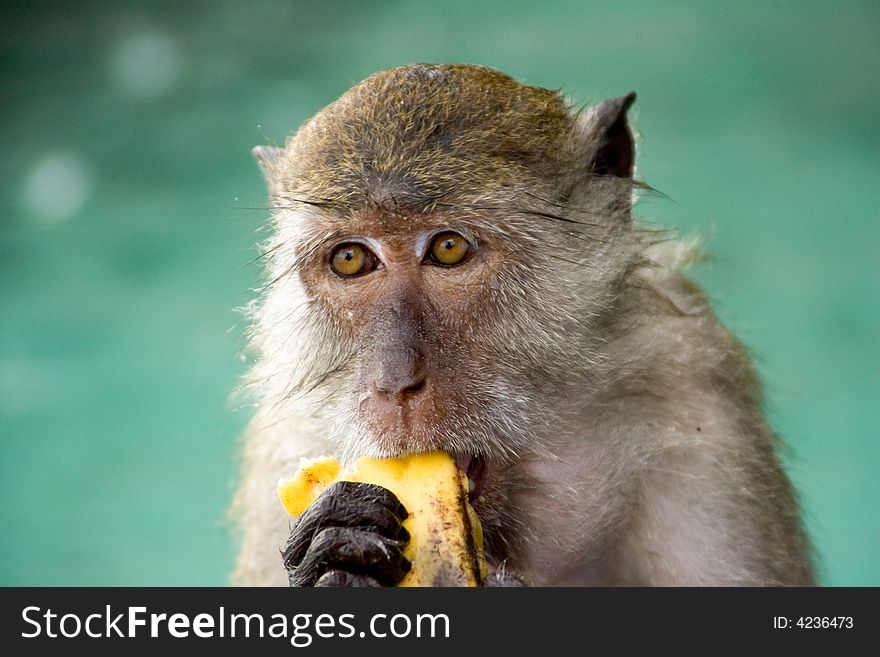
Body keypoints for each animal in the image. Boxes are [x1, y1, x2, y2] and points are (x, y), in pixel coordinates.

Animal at [230, 61, 816, 584]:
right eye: (351, 259)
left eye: (448, 249)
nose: (393, 382)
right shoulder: (283, 443)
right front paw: (334, 557)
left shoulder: (702, 420)